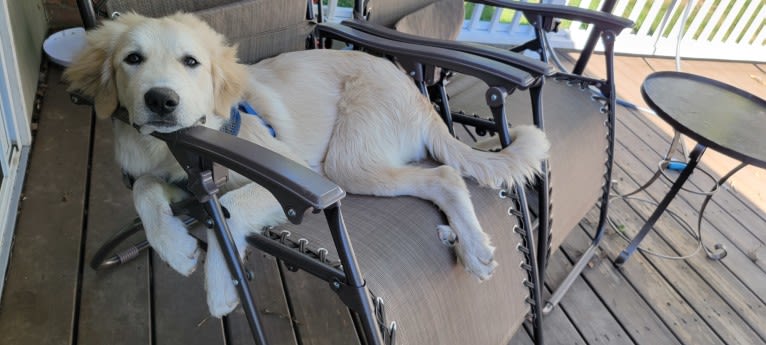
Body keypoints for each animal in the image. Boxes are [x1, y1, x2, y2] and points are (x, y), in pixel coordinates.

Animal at [63, 13, 548, 318]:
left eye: (191, 62)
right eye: (132, 59)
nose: (161, 101)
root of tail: (416, 92)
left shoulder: (289, 174)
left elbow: (231, 209)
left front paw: (219, 285)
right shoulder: (185, 184)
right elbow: (144, 189)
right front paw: (175, 247)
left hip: (345, 164)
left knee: (445, 174)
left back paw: (474, 246)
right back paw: (465, 244)